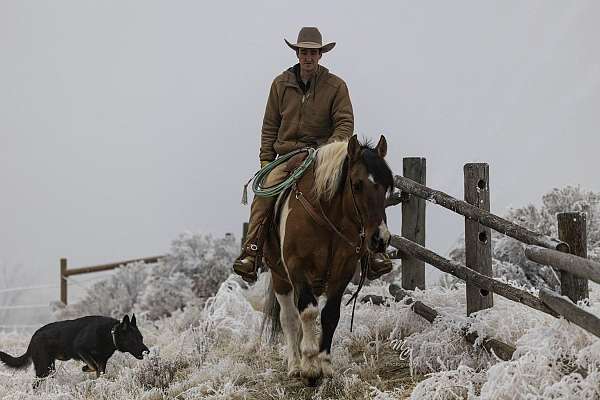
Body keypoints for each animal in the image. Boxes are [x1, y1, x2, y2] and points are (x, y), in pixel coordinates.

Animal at [0, 314, 149, 382]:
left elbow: (99, 372)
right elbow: (93, 366)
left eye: (141, 338)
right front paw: (85, 368)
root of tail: (33, 337)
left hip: (50, 368)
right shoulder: (81, 349)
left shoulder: (102, 362)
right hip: (43, 368)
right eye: (134, 339)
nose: (147, 351)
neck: (109, 333)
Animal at [262, 134, 394, 384]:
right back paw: (295, 366)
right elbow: (308, 312)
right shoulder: (297, 268)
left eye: (387, 187)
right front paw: (310, 366)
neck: (327, 218)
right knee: (289, 319)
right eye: (357, 184)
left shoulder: (343, 273)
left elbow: (330, 315)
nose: (380, 238)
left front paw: (325, 365)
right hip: (280, 277)